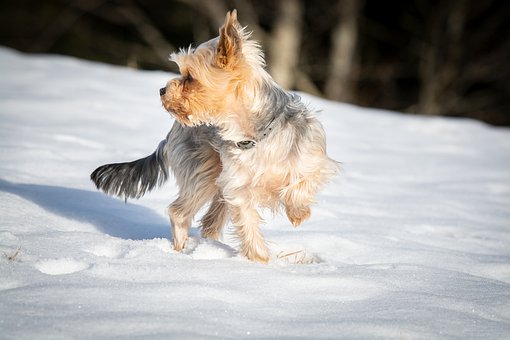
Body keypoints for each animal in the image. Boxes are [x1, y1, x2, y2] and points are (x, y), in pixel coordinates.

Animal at [91, 9, 338, 262]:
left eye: (190, 77)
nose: (161, 90)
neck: (258, 135)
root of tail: (172, 132)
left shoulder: (313, 159)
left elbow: (302, 182)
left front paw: (298, 213)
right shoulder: (238, 188)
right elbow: (248, 224)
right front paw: (260, 261)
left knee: (210, 222)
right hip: (203, 169)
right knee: (179, 212)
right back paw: (180, 252)